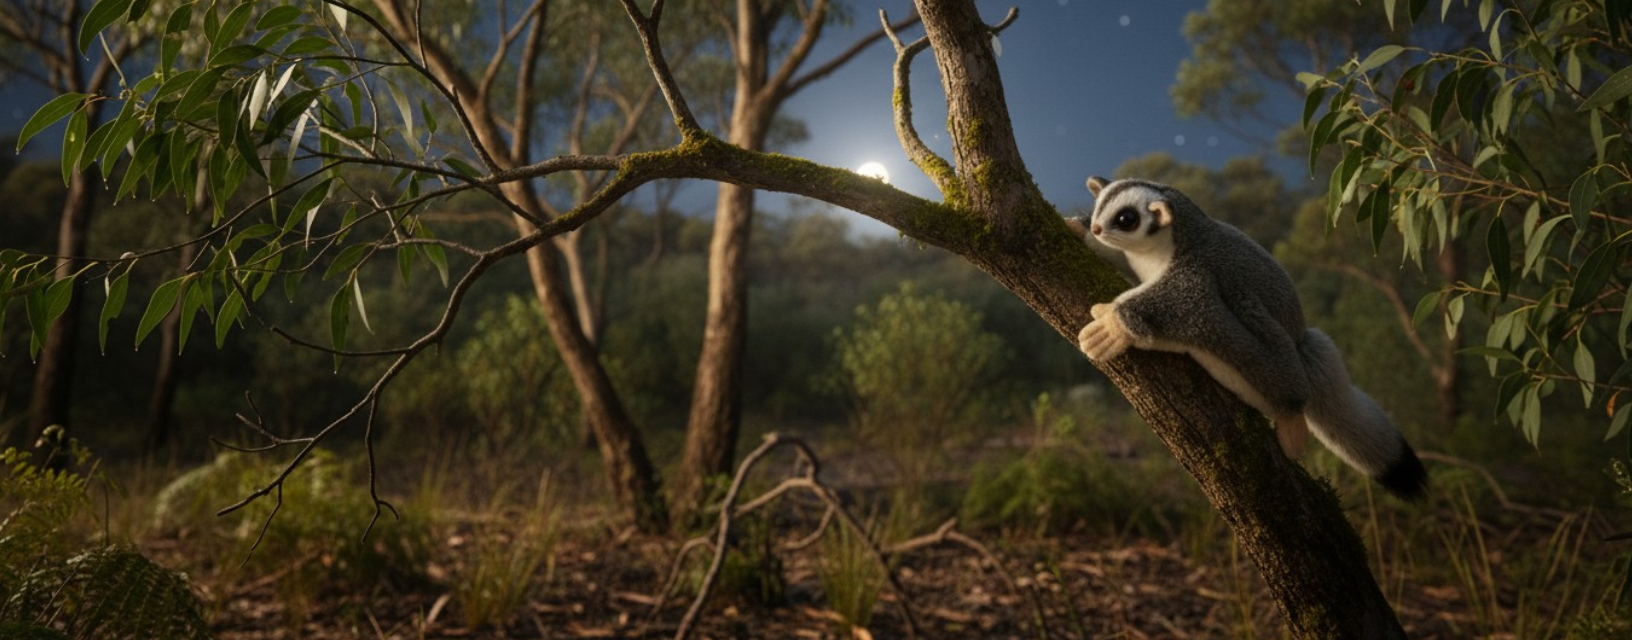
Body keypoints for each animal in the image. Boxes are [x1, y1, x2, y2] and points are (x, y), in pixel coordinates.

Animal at [1073, 176, 1427, 500]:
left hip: (1274, 353)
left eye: (1126, 219)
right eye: (1098, 207)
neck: (1164, 244)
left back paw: (1291, 416)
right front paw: (1079, 230)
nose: (1098, 228)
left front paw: (1115, 325)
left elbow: (1193, 303)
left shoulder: (1198, 268)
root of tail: (1301, 341)